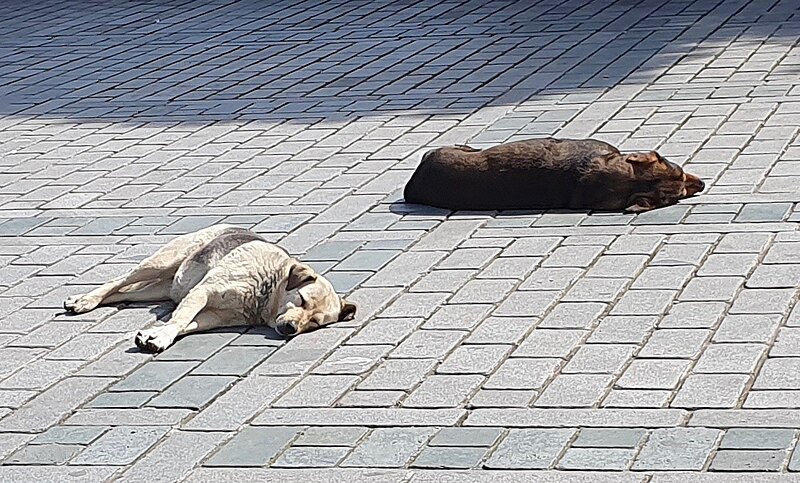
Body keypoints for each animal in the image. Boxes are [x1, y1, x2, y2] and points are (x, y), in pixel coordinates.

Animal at [64, 225, 358, 354]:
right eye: (302, 300)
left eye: (315, 323)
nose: (290, 329)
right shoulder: (201, 293)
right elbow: (179, 320)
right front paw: (161, 336)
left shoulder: (213, 316)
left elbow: (184, 324)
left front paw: (154, 335)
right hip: (161, 262)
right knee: (117, 281)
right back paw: (84, 300)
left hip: (160, 289)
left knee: (123, 293)